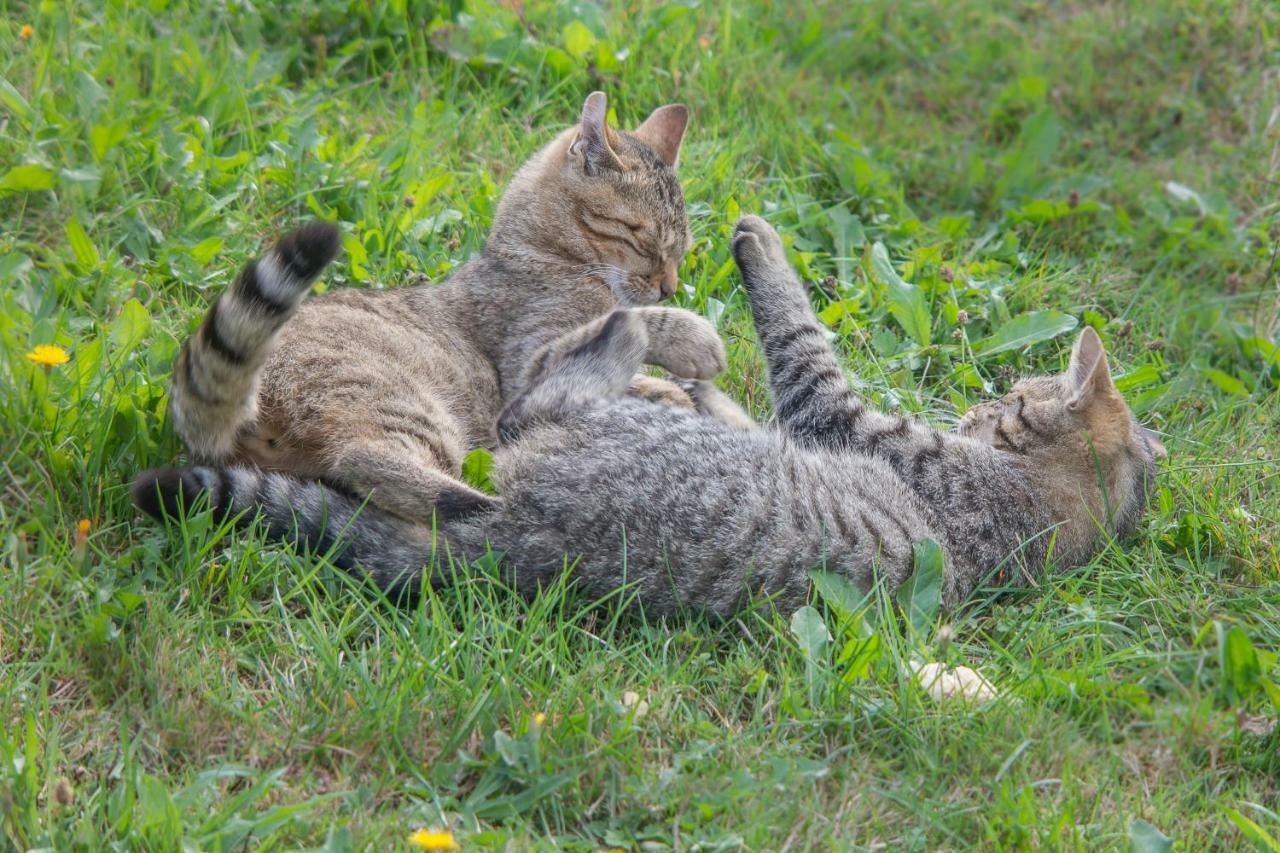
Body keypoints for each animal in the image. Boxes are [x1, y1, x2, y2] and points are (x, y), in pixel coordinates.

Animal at [135, 212, 1167, 612]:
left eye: (1013, 397)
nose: (986, 402)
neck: (1056, 507)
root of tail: (519, 549)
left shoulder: (843, 419)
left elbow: (801, 340)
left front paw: (763, 251)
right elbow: (762, 401)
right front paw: (715, 383)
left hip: (545, 436)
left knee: (545, 386)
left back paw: (643, 336)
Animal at [165, 92, 721, 517]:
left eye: (683, 250)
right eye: (643, 238)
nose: (670, 286)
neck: (544, 254)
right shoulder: (532, 360)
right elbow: (628, 327)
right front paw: (688, 351)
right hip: (398, 399)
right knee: (370, 460)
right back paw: (494, 503)